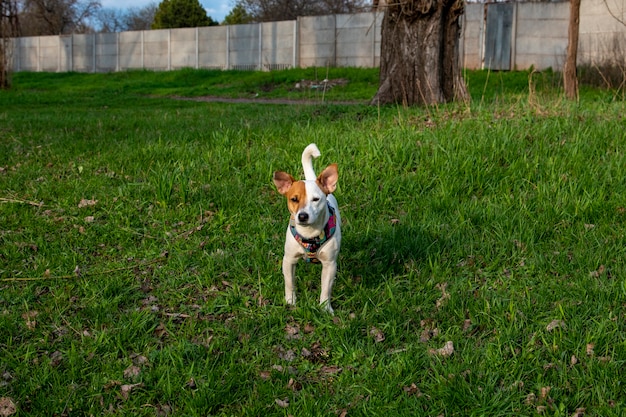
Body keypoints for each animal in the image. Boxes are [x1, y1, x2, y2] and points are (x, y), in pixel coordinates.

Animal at [272, 143, 342, 312]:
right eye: (294, 199)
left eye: (316, 199)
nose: (302, 216)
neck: (310, 234)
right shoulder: (289, 260)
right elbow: (289, 283)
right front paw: (290, 301)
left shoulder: (330, 264)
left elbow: (326, 288)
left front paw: (325, 308)